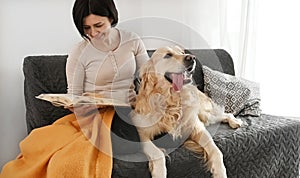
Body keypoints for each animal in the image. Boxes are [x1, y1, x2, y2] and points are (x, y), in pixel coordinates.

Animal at [132, 46, 244, 178]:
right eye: (168, 55)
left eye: (182, 52)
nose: (191, 58)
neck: (172, 101)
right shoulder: (141, 133)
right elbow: (157, 153)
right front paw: (159, 172)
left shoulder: (197, 127)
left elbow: (216, 150)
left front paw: (220, 172)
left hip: (205, 115)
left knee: (226, 114)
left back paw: (235, 122)